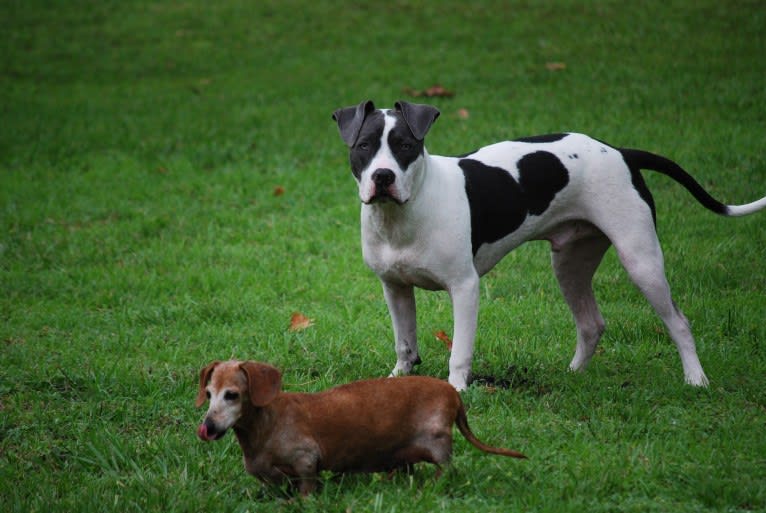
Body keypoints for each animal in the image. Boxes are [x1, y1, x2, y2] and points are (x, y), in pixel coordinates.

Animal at [196, 358, 528, 494]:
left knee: (447, 468)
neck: (265, 426)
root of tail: (452, 394)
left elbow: (306, 485)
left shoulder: (306, 459)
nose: (208, 427)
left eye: (232, 395)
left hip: (437, 441)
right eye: (209, 394)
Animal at [332, 100, 764, 388]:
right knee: (591, 324)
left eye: (406, 146)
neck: (405, 214)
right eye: (364, 146)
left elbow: (460, 352)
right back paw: (572, 375)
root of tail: (621, 153)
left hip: (641, 259)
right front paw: (396, 380)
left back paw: (696, 379)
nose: (383, 177)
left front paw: (456, 392)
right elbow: (405, 344)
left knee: (678, 322)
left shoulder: (465, 288)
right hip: (570, 264)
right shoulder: (395, 288)